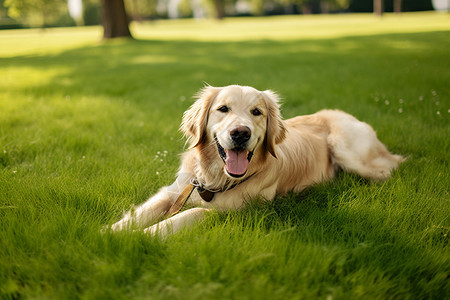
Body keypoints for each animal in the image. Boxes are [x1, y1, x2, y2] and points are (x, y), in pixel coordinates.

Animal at [108, 84, 404, 237]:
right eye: (223, 109)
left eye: (257, 112)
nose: (241, 133)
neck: (214, 177)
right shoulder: (175, 191)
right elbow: (140, 213)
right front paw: (107, 234)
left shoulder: (233, 211)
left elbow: (191, 213)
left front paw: (137, 239)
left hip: (348, 150)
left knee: (388, 169)